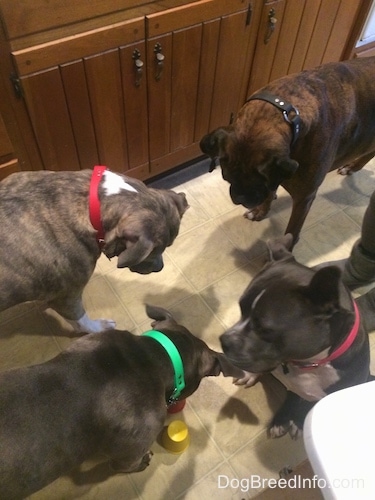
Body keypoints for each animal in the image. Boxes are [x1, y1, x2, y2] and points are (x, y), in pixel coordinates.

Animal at [0, 166, 188, 334]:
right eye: (152, 253)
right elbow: (81, 320)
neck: (91, 205)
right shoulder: (66, 297)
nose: (160, 267)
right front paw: (99, 328)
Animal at [201, 56, 375, 246]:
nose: (240, 198)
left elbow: (292, 230)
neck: (289, 113)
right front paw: (260, 211)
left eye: (258, 183)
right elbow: (270, 194)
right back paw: (352, 166)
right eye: (227, 178)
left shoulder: (303, 198)